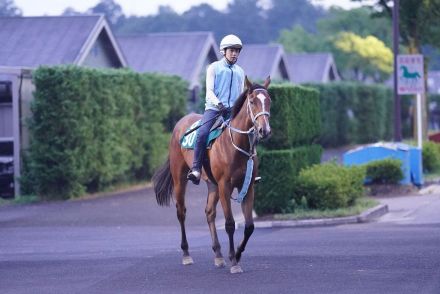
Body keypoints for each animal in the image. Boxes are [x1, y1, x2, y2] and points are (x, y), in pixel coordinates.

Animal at [154, 76, 272, 274]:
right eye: (252, 101)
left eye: (269, 101)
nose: (265, 130)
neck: (235, 145)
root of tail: (180, 123)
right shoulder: (225, 185)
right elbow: (230, 224)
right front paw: (234, 261)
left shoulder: (247, 187)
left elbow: (249, 226)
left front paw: (237, 254)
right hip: (180, 179)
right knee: (181, 212)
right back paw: (186, 254)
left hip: (212, 185)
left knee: (209, 212)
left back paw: (218, 255)